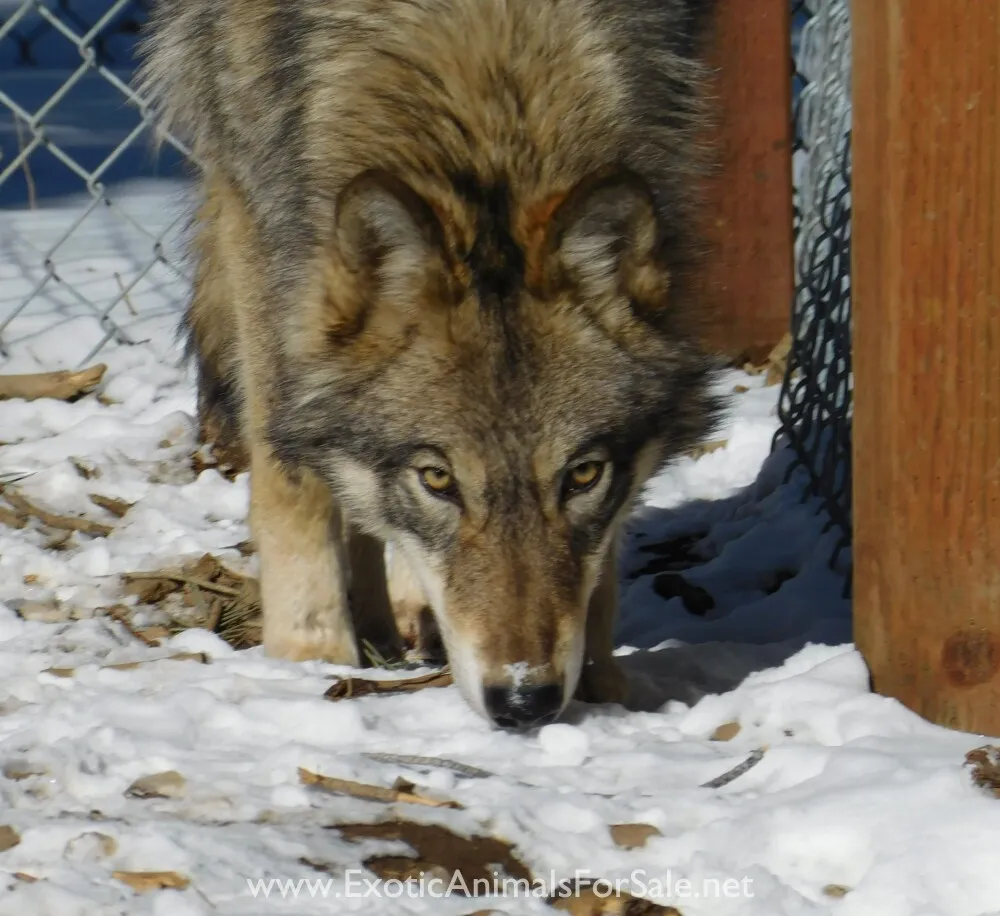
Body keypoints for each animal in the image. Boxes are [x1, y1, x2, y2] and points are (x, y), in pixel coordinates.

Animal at [137, 0, 723, 729]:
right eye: (437, 479)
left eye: (583, 475)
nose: (525, 699)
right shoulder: (260, 207)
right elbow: (293, 478)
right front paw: (309, 655)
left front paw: (603, 676)